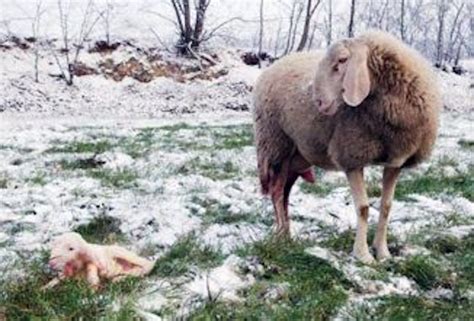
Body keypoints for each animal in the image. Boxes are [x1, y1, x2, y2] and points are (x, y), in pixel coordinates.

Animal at [254, 30, 442, 262]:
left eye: (343, 60)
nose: (319, 102)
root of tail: (274, 65)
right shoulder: (351, 156)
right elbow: (363, 208)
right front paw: (363, 255)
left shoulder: (395, 161)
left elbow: (386, 206)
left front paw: (383, 252)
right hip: (276, 145)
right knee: (277, 192)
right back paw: (281, 236)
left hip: (296, 156)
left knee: (285, 192)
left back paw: (288, 234)